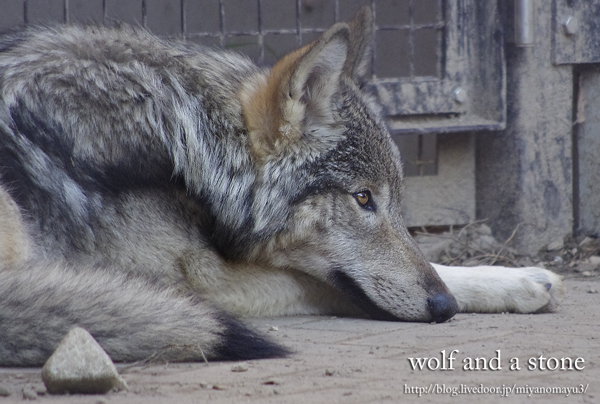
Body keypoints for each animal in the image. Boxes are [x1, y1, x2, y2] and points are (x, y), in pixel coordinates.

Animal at [0, 7, 564, 366]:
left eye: (395, 203)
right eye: (363, 199)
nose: (443, 308)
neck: (183, 133)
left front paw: (520, 279)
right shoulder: (198, 279)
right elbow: (324, 284)